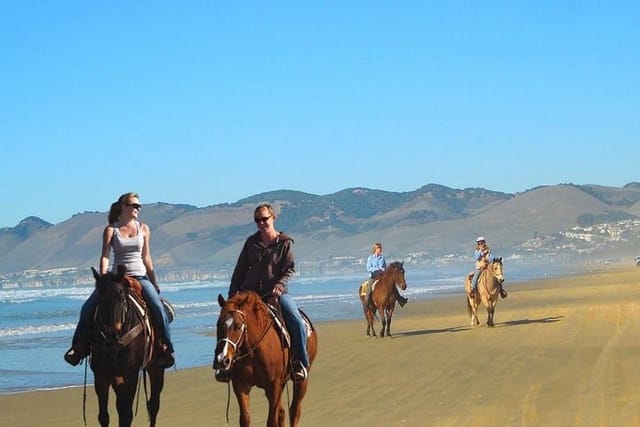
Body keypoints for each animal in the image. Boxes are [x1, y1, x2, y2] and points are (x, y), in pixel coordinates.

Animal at [90, 268, 166, 427]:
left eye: (122, 299)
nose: (112, 332)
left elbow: (127, 414)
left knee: (153, 404)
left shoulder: (131, 373)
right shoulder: (101, 374)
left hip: (156, 368)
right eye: (100, 299)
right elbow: (104, 416)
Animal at [215, 290, 318, 427]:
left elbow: (272, 421)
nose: (222, 359)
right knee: (282, 412)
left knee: (295, 410)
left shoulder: (273, 384)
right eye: (218, 324)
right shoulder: (240, 385)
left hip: (302, 380)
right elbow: (245, 418)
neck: (253, 351)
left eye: (238, 326)